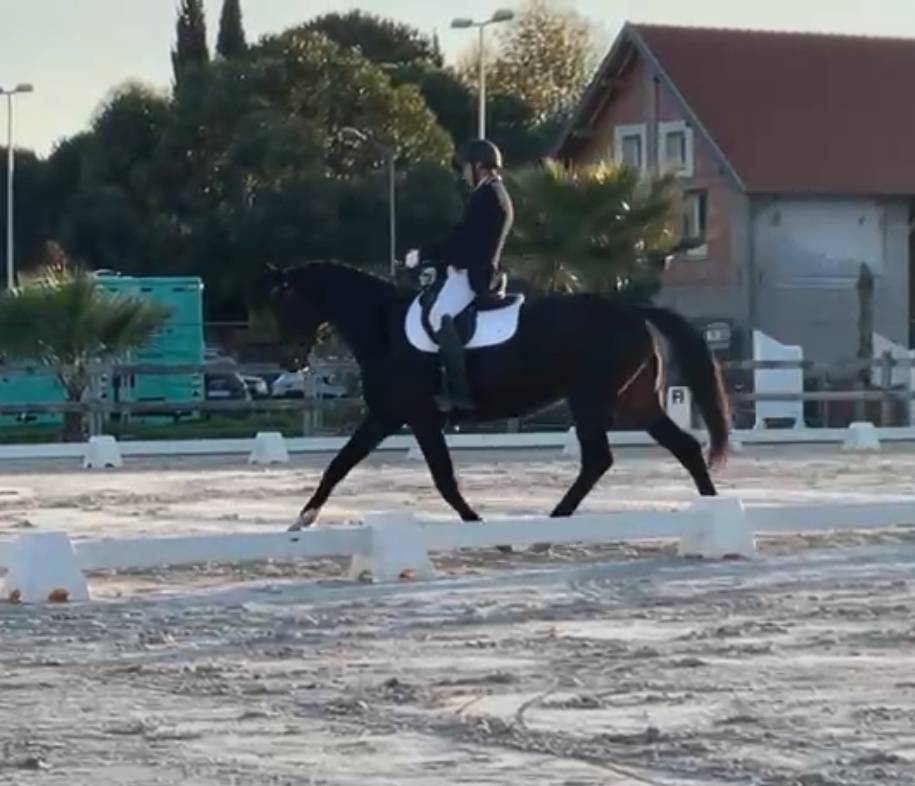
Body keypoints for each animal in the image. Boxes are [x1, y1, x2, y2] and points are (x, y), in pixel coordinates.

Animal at [266, 261, 730, 530]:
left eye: (284, 303)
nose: (290, 360)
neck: (383, 329)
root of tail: (632, 312)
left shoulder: (419, 418)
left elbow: (444, 479)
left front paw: (475, 521)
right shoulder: (384, 417)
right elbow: (338, 466)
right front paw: (303, 519)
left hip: (588, 399)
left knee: (599, 458)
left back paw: (557, 517)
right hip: (636, 402)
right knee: (684, 446)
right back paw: (714, 507)